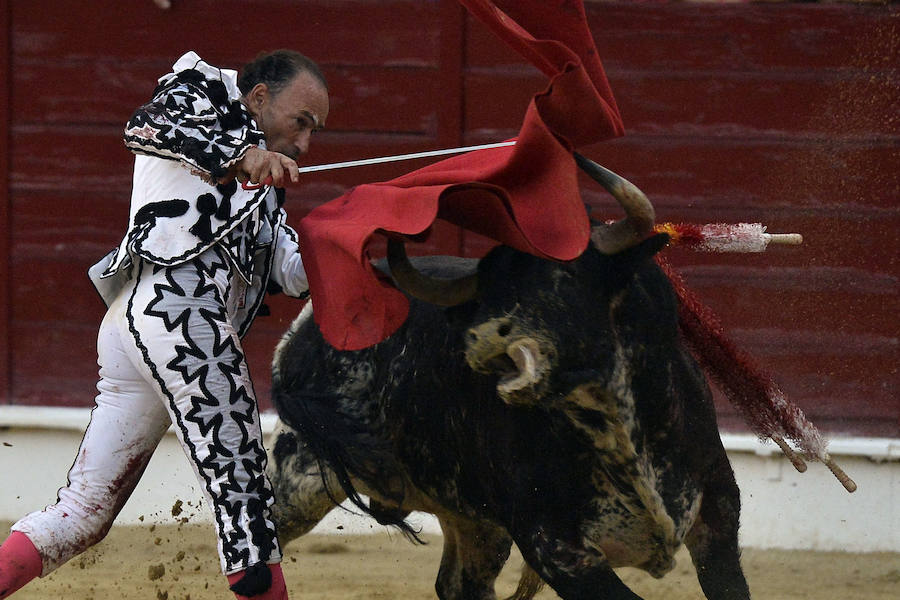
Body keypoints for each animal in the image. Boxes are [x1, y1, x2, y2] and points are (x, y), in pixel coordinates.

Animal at [266, 234, 752, 600]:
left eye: (568, 279)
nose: (488, 340)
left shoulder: (718, 512)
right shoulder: (555, 547)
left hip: (475, 519)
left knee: (460, 585)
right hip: (297, 478)